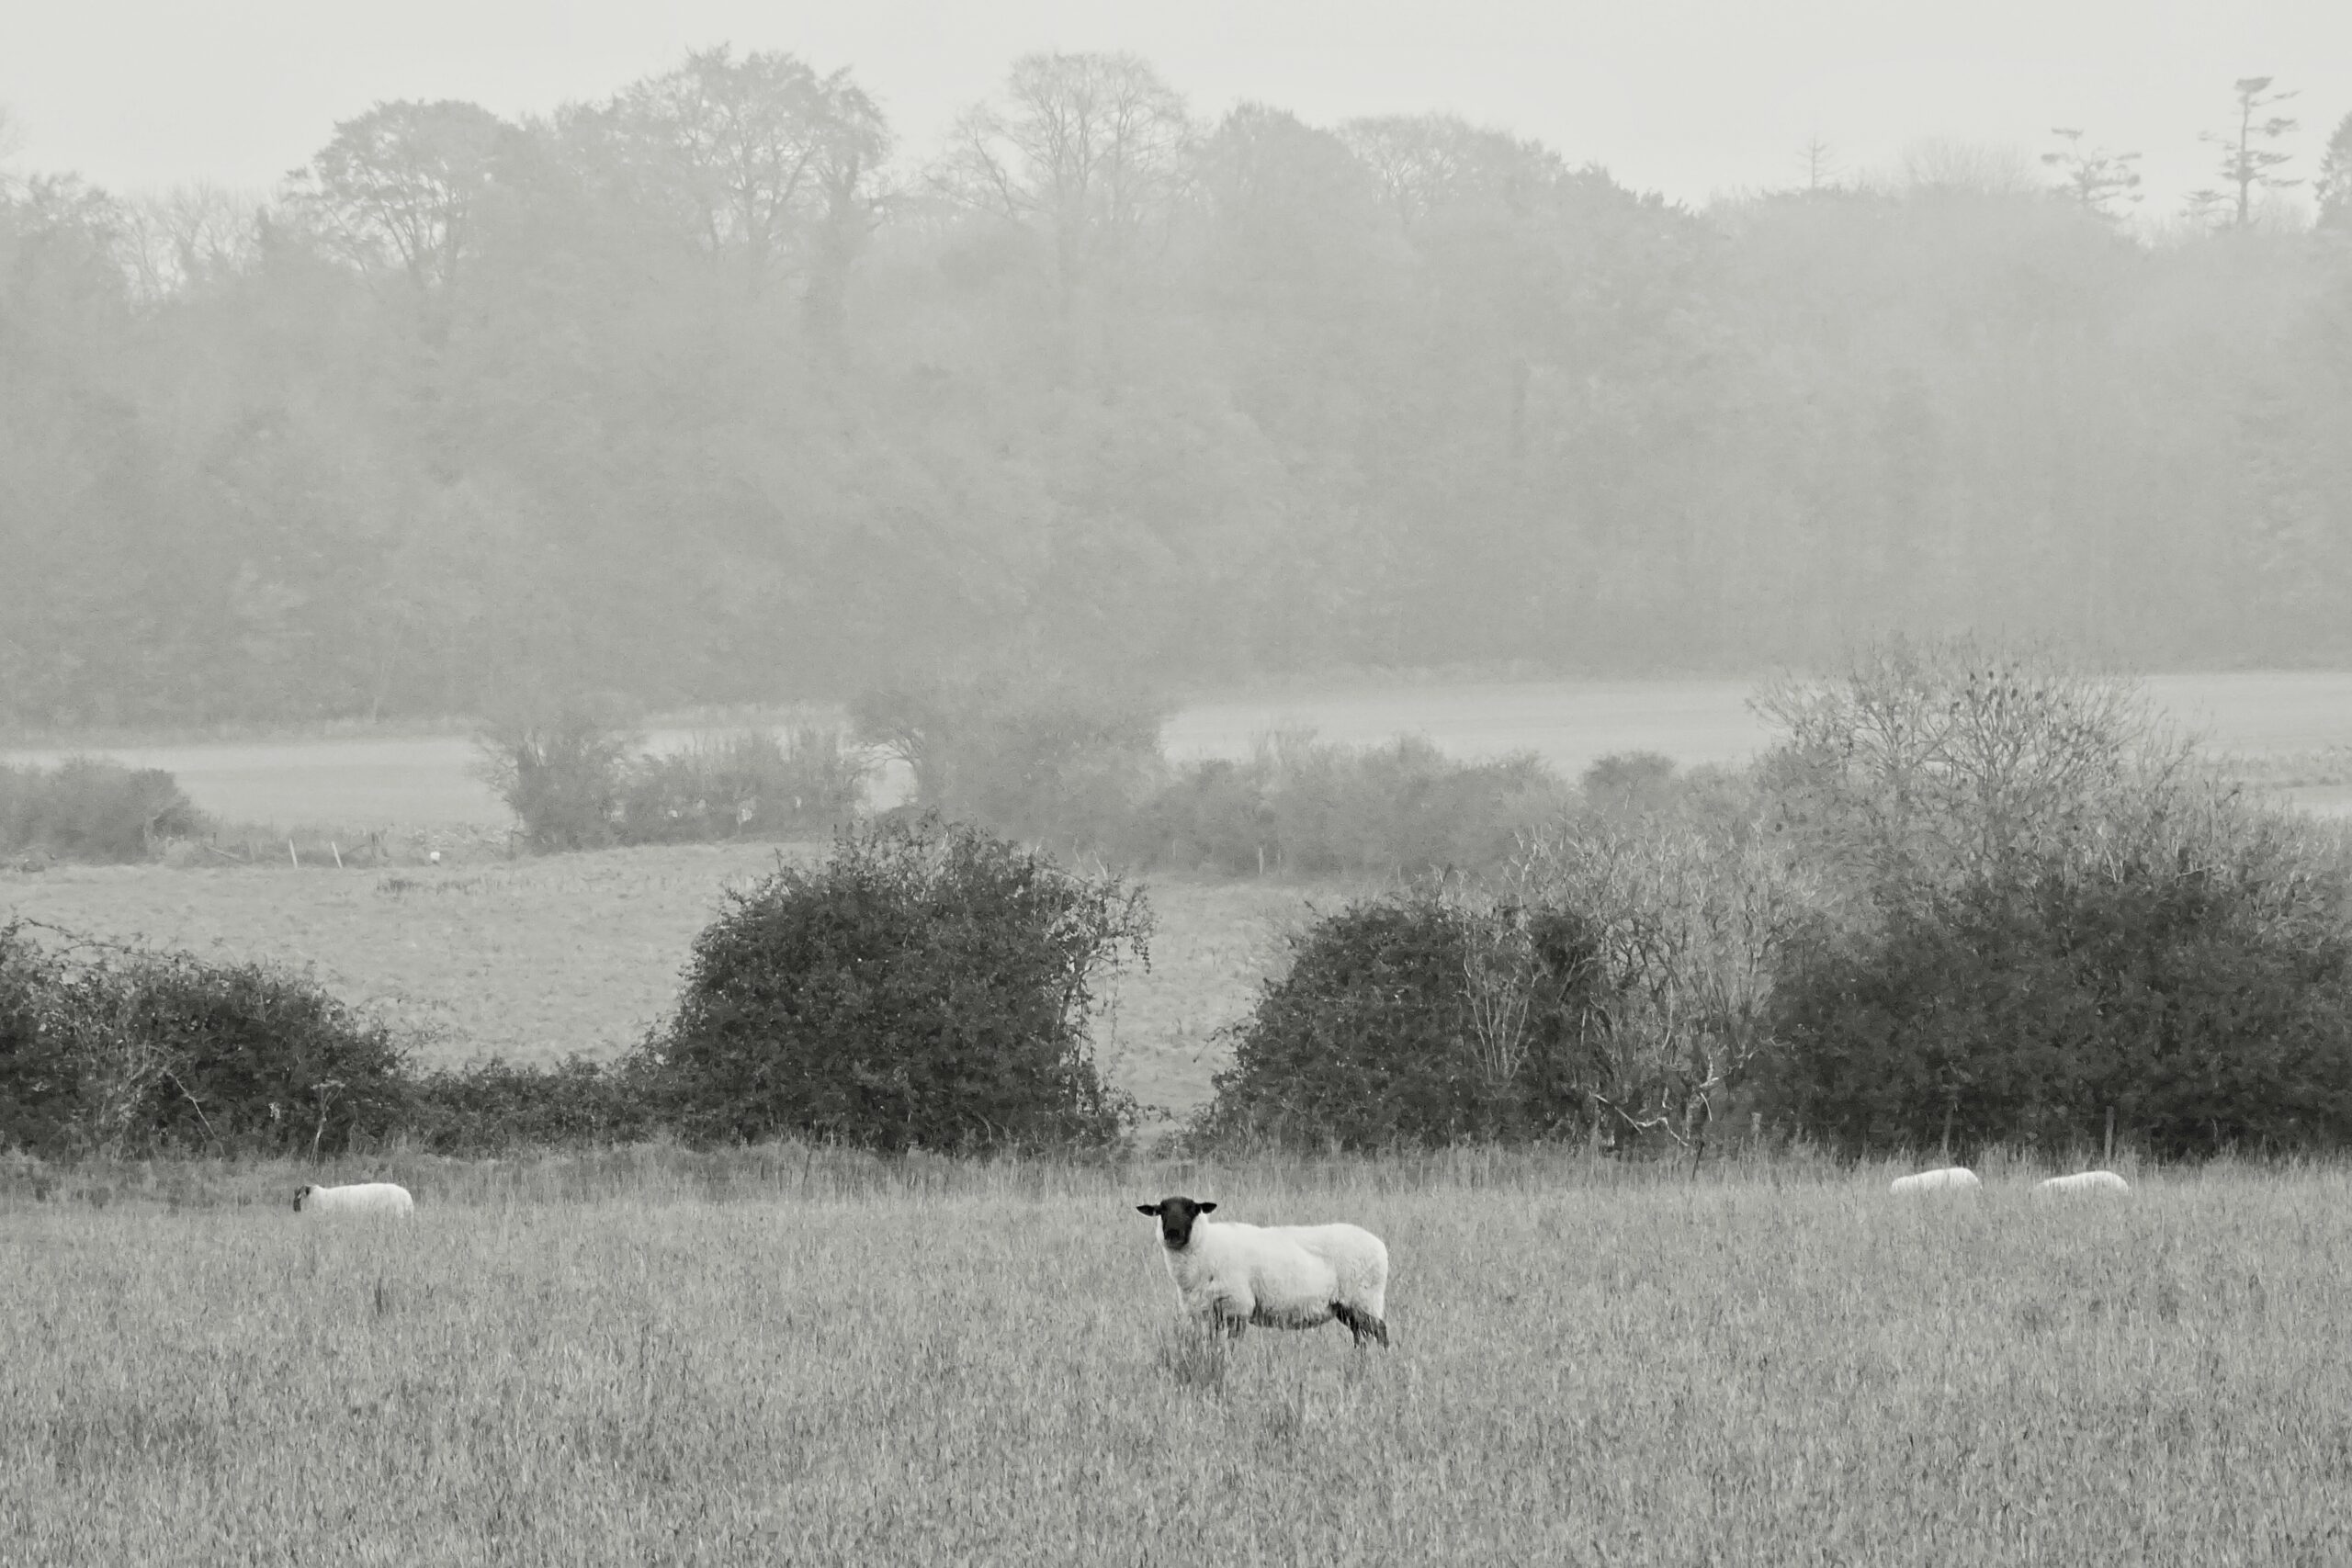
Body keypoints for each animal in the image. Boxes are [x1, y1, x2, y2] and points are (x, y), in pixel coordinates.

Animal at [1128, 1194, 1383, 1344]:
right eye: (1161, 1211)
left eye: (1193, 1210)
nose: (1173, 1234)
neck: (1207, 1247)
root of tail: (1379, 1245)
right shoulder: (1205, 1313)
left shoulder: (1237, 1307)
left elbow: (1231, 1345)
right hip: (1347, 1307)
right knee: (1361, 1338)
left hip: (1364, 1300)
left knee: (1380, 1334)